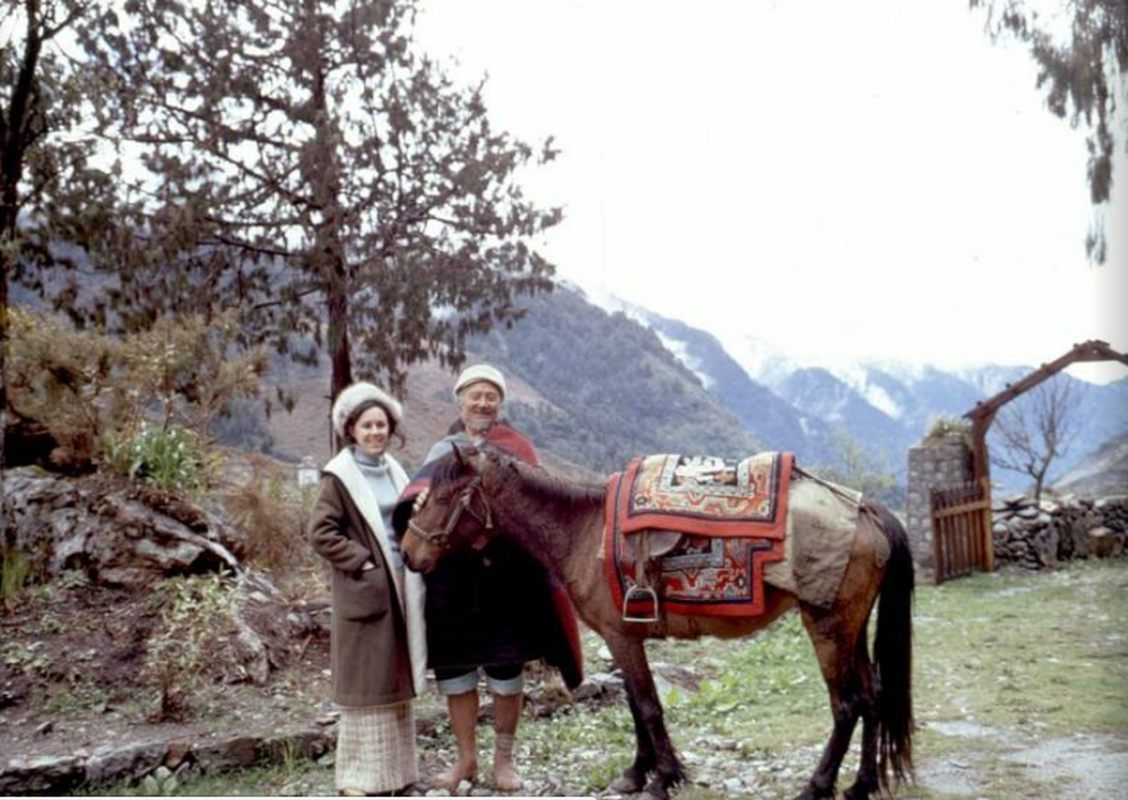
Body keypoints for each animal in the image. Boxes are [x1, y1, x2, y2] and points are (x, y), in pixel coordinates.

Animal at [401, 446, 911, 794]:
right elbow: (634, 705)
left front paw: (662, 779)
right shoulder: (624, 637)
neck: (583, 530)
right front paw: (635, 773)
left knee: (847, 705)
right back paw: (862, 785)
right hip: (851, 628)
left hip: (827, 628)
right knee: (873, 697)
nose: (407, 552)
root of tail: (866, 510)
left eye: (445, 495)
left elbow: (647, 707)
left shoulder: (621, 637)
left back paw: (818, 786)